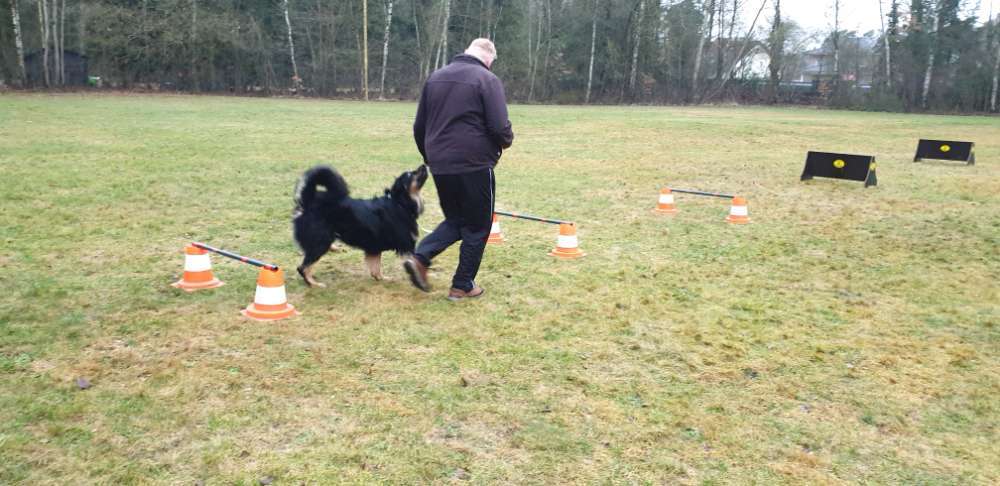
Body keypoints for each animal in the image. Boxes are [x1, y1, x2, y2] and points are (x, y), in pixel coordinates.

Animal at [292, 165, 428, 286]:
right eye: (410, 174)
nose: (424, 165)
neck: (400, 203)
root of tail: (307, 200)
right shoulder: (407, 246)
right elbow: (416, 261)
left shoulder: (374, 247)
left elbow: (376, 268)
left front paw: (382, 278)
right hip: (321, 241)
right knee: (303, 267)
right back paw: (314, 284)